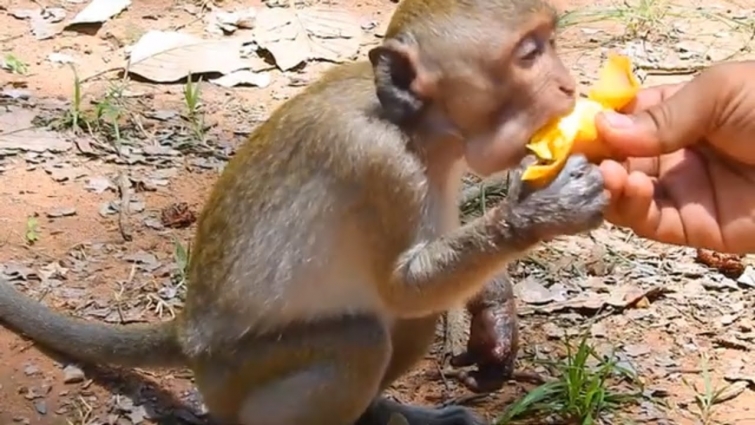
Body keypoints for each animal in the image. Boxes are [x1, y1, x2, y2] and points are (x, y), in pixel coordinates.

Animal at [0, 1, 607, 425]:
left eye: (549, 41)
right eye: (528, 54)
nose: (568, 84)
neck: (414, 127)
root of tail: (188, 330)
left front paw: (494, 311)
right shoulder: (382, 165)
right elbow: (403, 288)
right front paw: (538, 214)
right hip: (233, 376)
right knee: (360, 340)